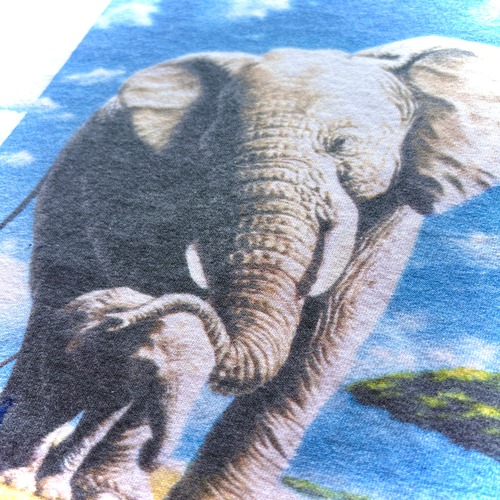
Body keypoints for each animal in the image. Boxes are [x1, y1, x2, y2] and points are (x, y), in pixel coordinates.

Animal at [0, 35, 499, 499]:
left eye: (341, 146)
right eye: (216, 148)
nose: (119, 318)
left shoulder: (397, 200)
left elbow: (332, 331)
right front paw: (112, 489)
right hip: (65, 194)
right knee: (53, 303)